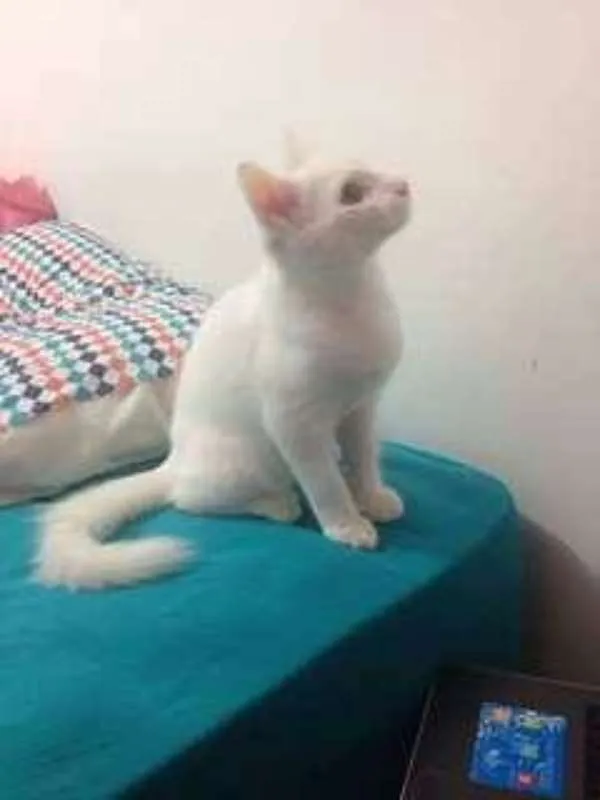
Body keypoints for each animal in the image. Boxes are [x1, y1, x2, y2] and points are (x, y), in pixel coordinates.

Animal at [37, 140, 411, 589]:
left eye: (373, 168)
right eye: (352, 193)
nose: (404, 184)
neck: (354, 297)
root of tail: (174, 461)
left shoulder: (361, 408)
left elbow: (366, 456)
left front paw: (371, 495)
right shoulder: (295, 424)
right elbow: (324, 482)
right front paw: (346, 524)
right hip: (246, 458)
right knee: (194, 500)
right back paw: (276, 502)